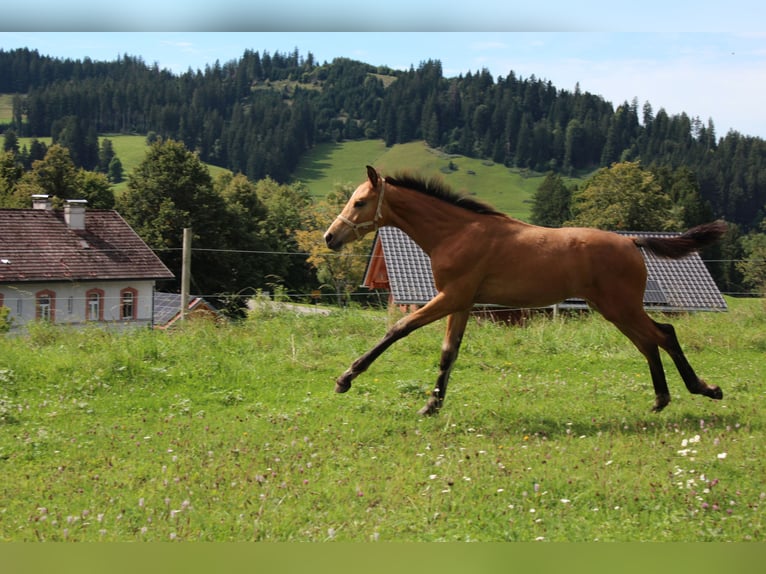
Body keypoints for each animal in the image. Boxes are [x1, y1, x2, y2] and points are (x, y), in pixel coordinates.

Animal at [324, 165, 726, 416]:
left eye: (359, 202)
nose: (330, 237)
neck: (457, 233)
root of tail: (632, 242)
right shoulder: (463, 302)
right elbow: (448, 352)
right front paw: (432, 405)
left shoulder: (451, 297)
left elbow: (398, 329)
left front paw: (345, 378)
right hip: (613, 309)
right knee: (649, 342)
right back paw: (661, 399)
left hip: (621, 306)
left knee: (664, 334)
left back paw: (705, 389)